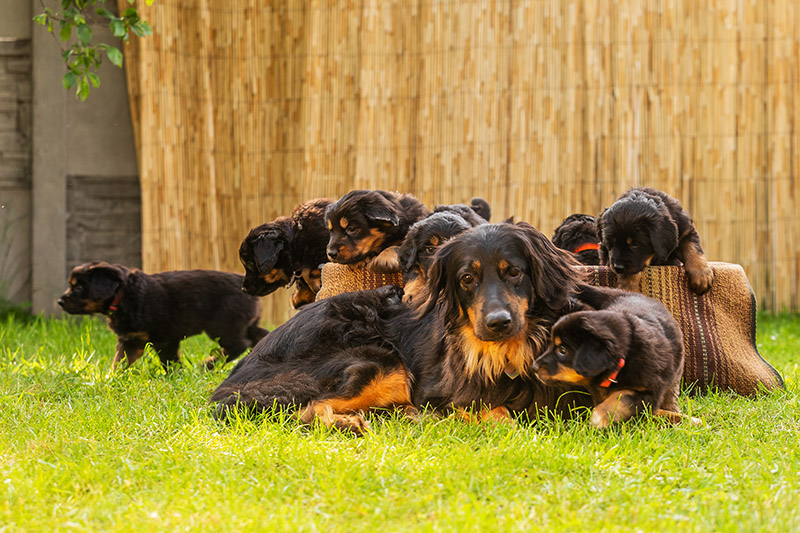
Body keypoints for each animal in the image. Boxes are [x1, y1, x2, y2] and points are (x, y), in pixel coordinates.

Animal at [57, 262, 268, 370]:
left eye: (79, 287)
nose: (60, 301)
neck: (124, 294)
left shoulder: (164, 339)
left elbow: (169, 361)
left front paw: (176, 374)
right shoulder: (131, 341)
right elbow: (120, 362)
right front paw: (111, 379)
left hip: (222, 325)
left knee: (237, 345)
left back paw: (206, 365)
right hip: (245, 323)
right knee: (259, 335)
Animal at [209, 222, 592, 434]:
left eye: (513, 272)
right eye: (466, 279)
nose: (497, 323)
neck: (507, 354)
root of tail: (231, 379)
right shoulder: (441, 392)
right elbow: (497, 415)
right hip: (377, 359)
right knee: (304, 410)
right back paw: (350, 423)